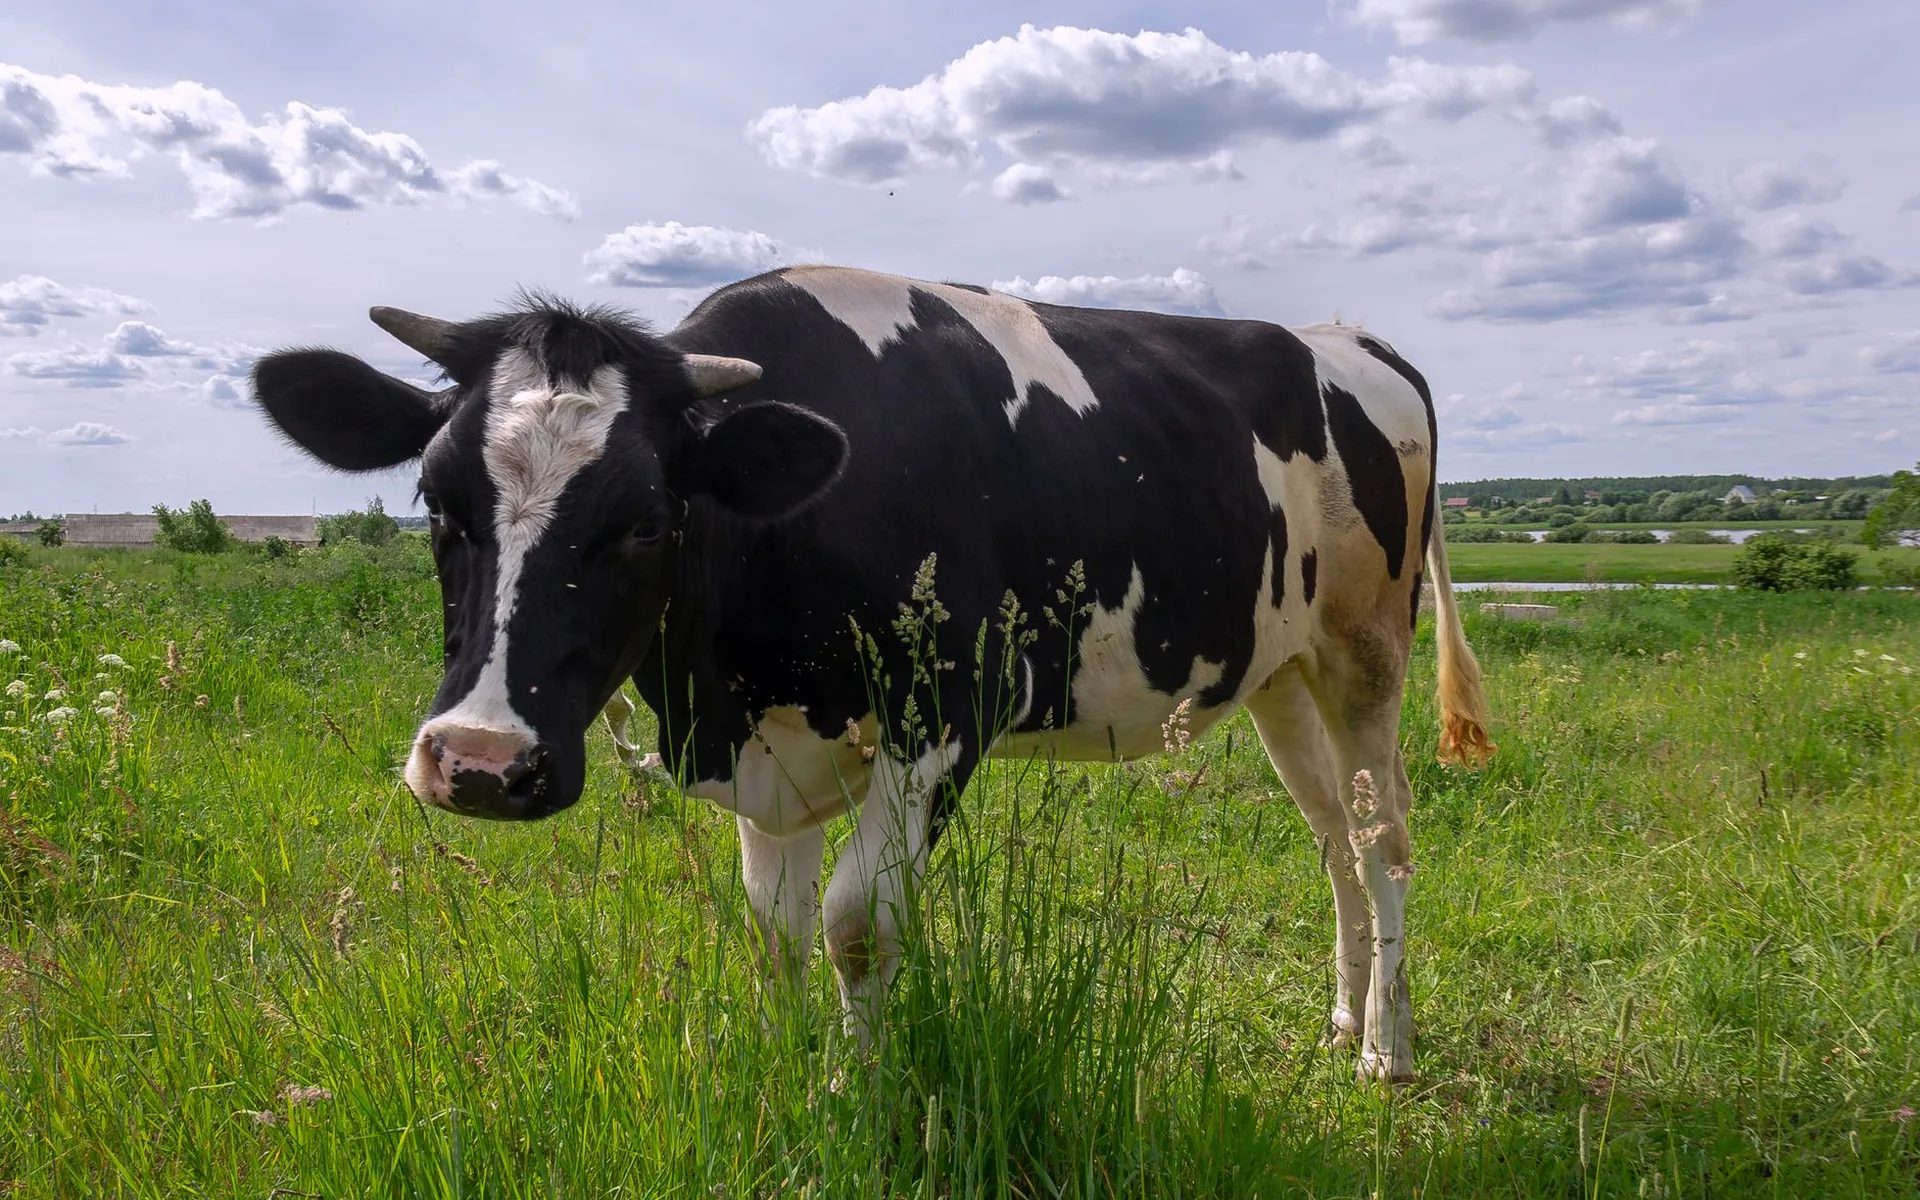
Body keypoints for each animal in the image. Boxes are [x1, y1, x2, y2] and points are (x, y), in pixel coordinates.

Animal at [251, 266, 1493, 1084]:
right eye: (435, 499)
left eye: (647, 519)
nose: (479, 763)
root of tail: (1352, 340)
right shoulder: (768, 749)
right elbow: (772, 928)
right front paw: (783, 1075)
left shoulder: (945, 713)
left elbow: (856, 926)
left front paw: (855, 1094)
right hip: (1280, 668)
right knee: (1332, 835)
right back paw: (1342, 1019)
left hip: (1367, 648)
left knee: (1385, 833)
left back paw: (1387, 1048)